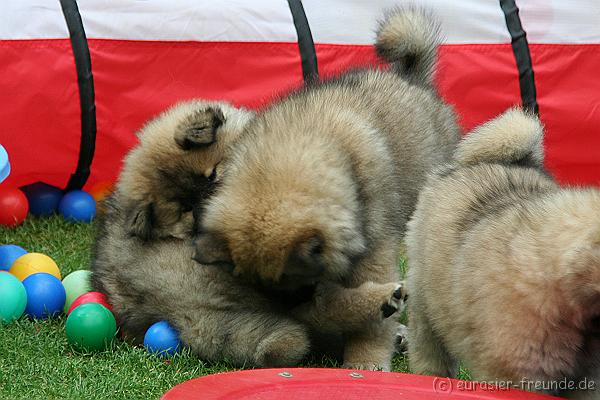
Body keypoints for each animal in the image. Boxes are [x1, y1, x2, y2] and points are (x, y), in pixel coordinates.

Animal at [192, 8, 460, 372]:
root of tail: (412, 77)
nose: (296, 307)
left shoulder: (373, 251)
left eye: (300, 280)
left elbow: (370, 320)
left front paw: (365, 361)